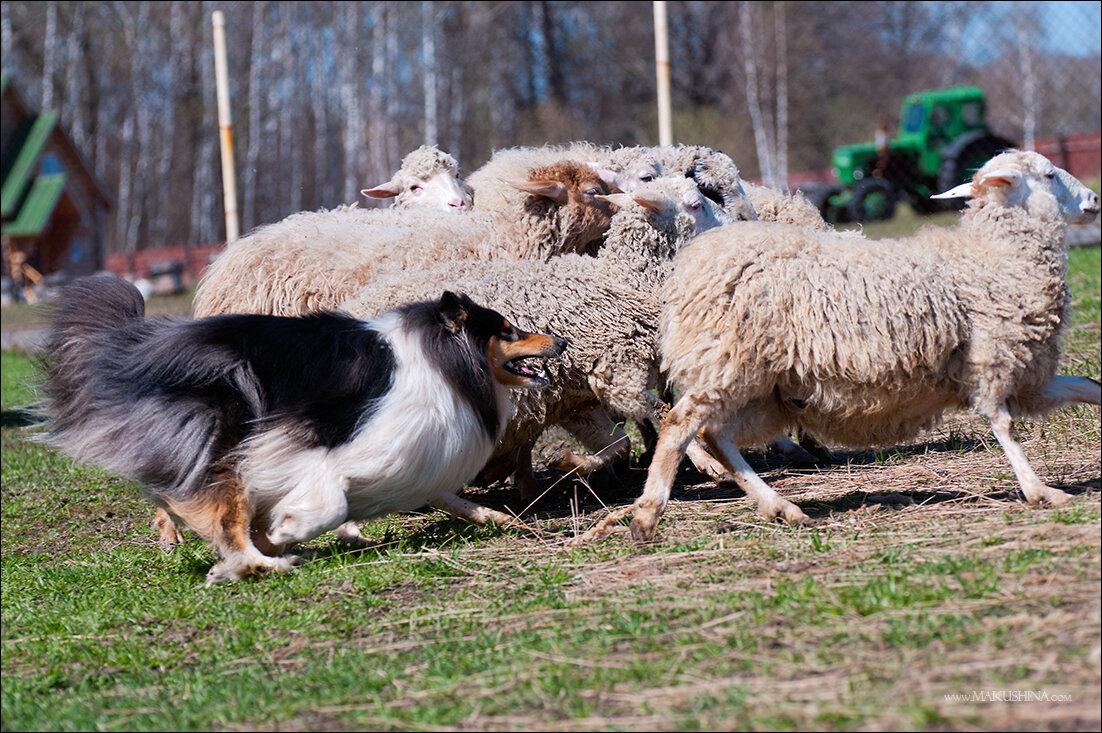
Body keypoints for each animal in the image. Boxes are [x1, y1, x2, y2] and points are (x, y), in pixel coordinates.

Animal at [37, 273, 564, 581]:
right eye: (509, 331)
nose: (559, 341)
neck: (445, 360)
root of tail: (129, 352)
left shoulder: (410, 451)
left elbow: (447, 496)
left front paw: (496, 518)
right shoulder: (325, 441)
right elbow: (328, 499)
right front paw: (289, 530)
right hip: (225, 439)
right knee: (223, 519)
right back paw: (262, 563)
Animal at [341, 177, 740, 498]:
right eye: (695, 204)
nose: (736, 224)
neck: (623, 281)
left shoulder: (577, 394)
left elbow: (618, 443)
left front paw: (568, 462)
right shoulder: (616, 373)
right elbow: (664, 412)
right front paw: (709, 463)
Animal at [581, 148, 1097, 540]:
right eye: (1049, 175)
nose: (1093, 199)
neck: (993, 257)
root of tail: (691, 266)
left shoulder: (1031, 379)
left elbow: (1089, 387)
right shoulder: (992, 361)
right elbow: (1003, 425)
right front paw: (1040, 492)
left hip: (759, 386)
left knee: (716, 435)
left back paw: (780, 507)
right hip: (729, 362)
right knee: (679, 424)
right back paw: (648, 515)